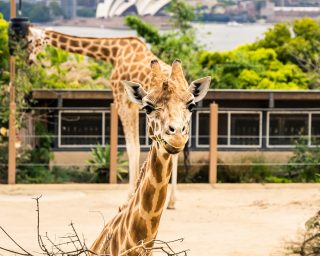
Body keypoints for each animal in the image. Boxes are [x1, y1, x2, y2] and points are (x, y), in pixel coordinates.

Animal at [26, 25, 202, 206]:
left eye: (31, 41)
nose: (28, 60)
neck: (113, 52)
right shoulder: (134, 105)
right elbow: (138, 146)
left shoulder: (121, 99)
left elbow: (132, 147)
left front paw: (130, 194)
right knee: (176, 147)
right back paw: (172, 200)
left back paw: (170, 199)